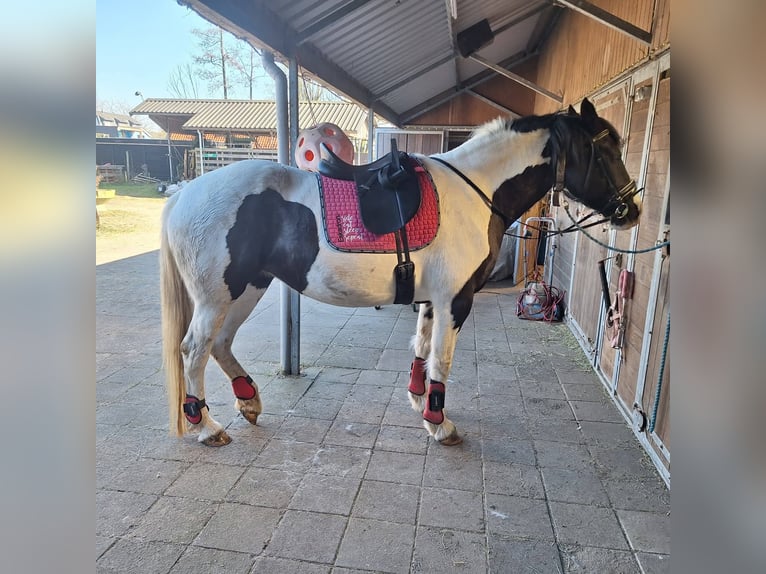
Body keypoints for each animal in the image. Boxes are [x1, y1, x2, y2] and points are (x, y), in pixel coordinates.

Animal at [160, 98, 641, 447]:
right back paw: (205, 426)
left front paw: (418, 398)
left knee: (221, 344)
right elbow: (442, 358)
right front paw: (439, 422)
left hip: (247, 288)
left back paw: (248, 402)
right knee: (194, 349)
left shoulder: (431, 299)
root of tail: (186, 192)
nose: (631, 211)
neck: (477, 191)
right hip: (218, 295)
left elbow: (423, 349)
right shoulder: (455, 300)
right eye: (602, 149)